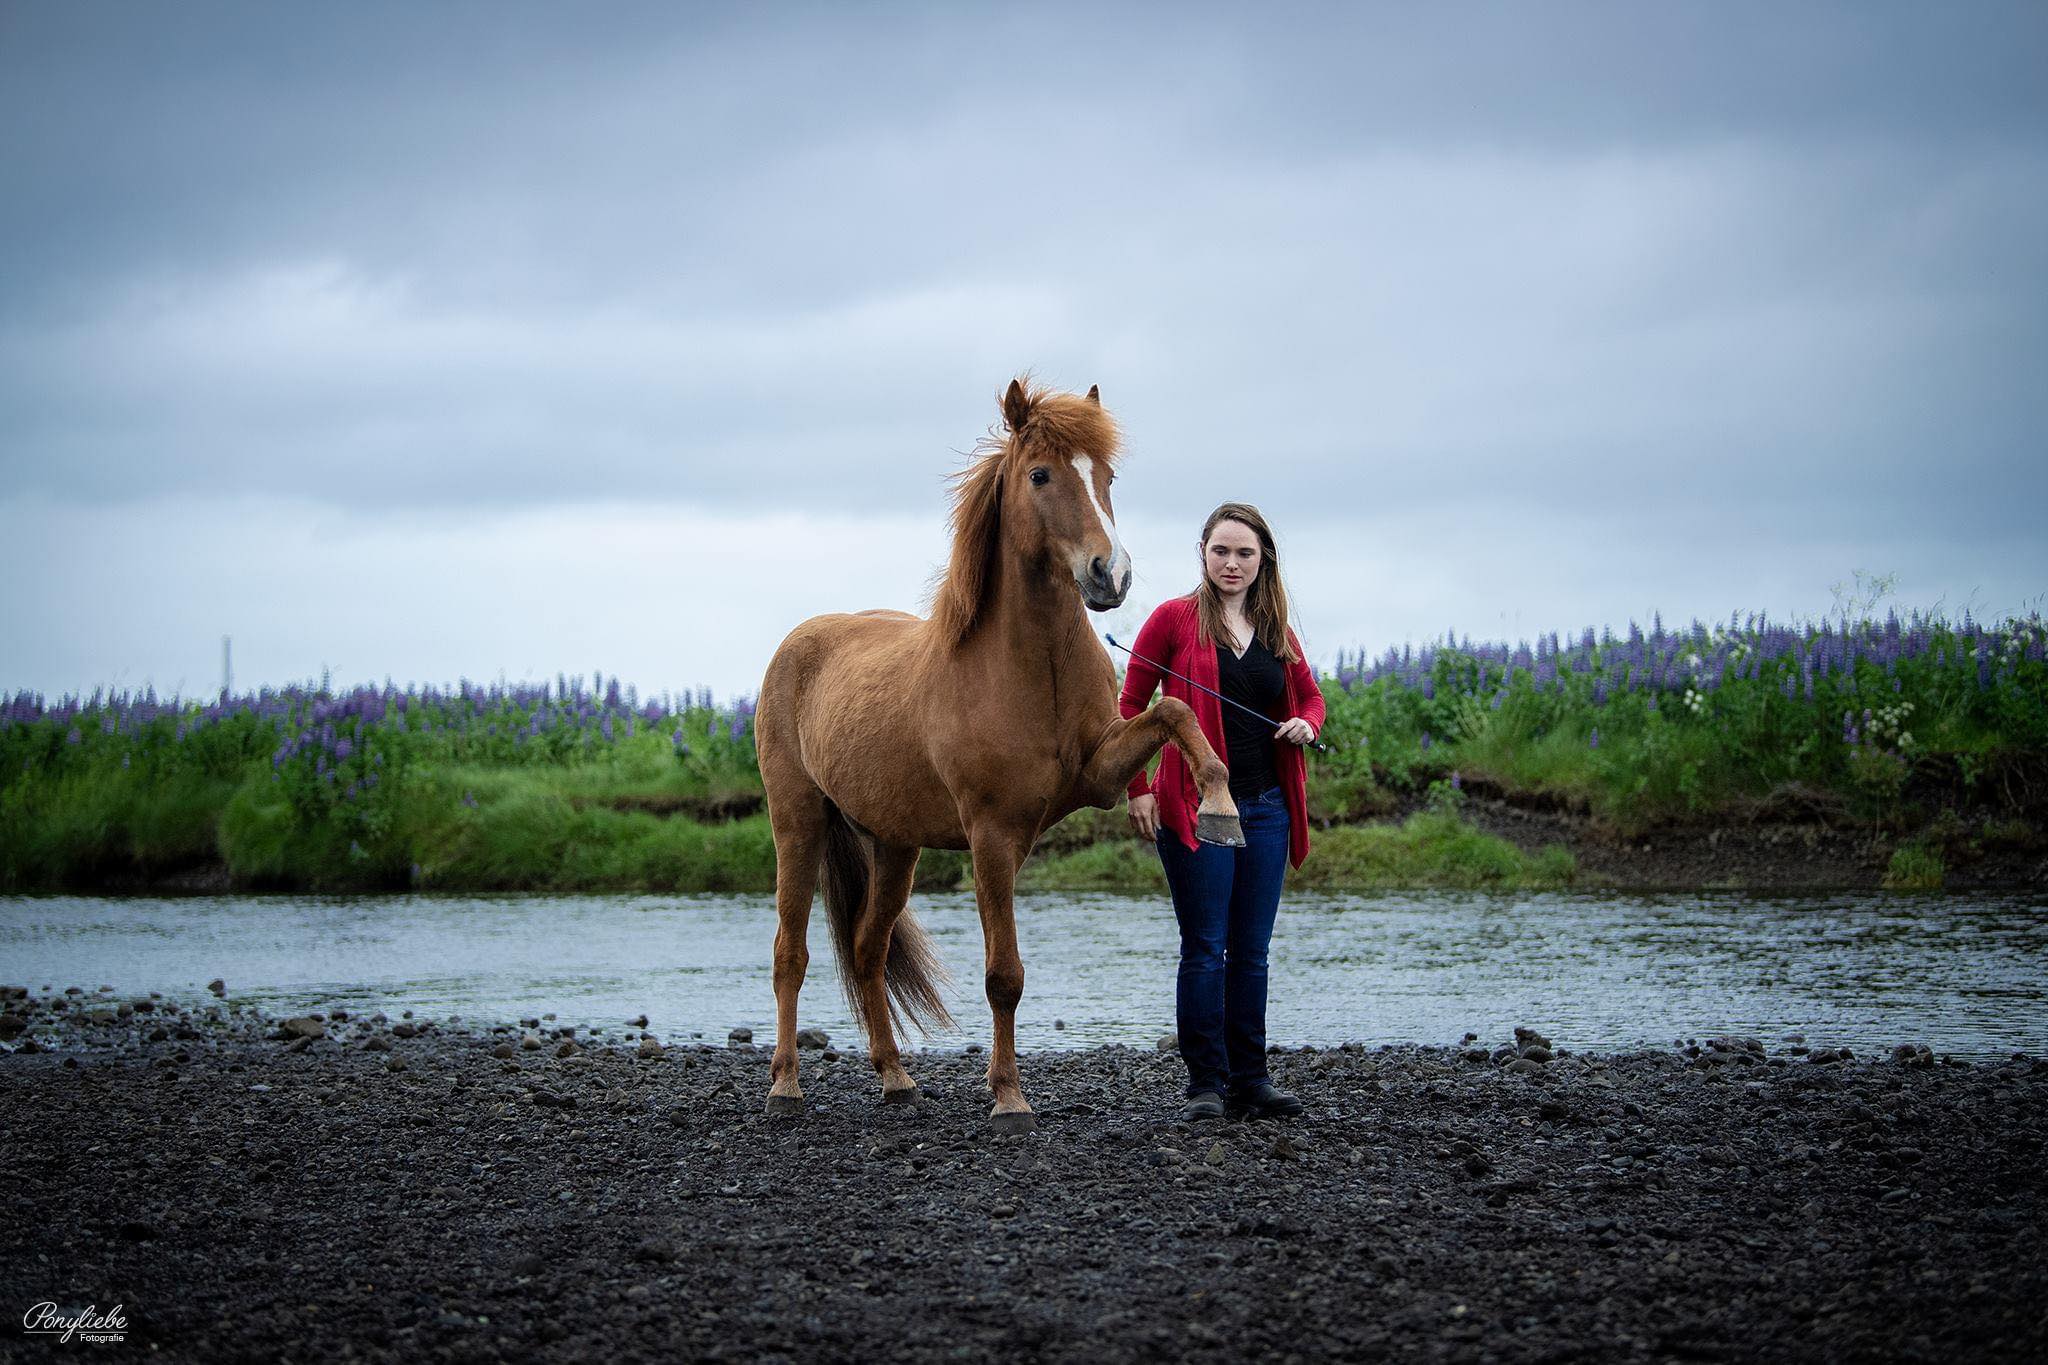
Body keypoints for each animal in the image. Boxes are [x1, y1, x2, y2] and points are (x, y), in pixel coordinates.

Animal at [753, 382, 1228, 1129]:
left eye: (1107, 476)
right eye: (1040, 475)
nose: (1111, 574)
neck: (1027, 668)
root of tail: (799, 641)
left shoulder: (1099, 773)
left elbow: (1176, 710)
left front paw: (1219, 801)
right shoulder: (993, 836)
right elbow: (1004, 975)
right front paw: (1008, 1095)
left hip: (894, 845)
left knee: (867, 949)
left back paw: (895, 1077)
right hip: (797, 822)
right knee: (789, 954)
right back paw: (785, 1085)